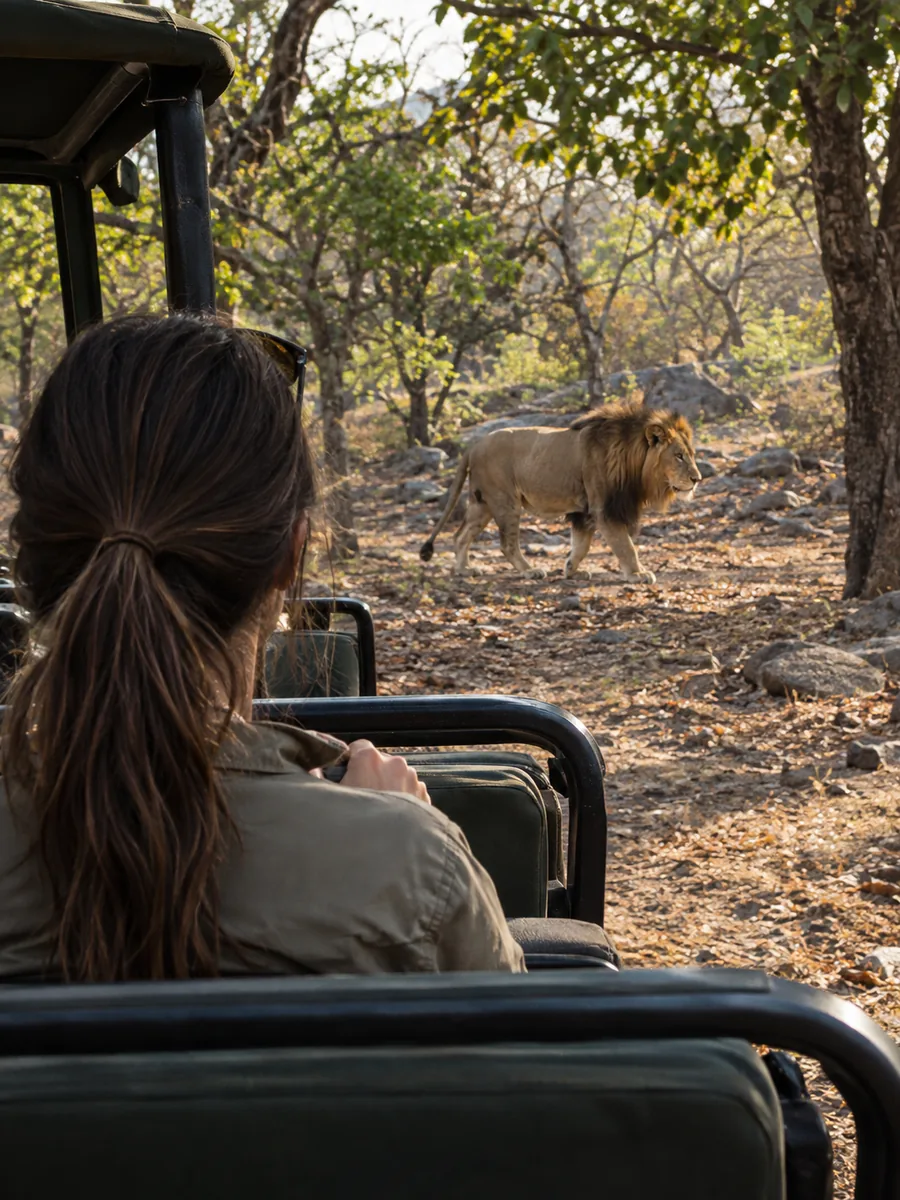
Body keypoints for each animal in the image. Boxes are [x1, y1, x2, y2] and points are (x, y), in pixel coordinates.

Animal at [419, 399, 701, 582]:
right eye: (678, 456)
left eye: (692, 454)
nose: (697, 478)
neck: (634, 460)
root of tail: (474, 445)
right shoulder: (603, 508)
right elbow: (625, 545)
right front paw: (637, 573)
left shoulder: (584, 511)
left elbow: (582, 545)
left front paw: (571, 569)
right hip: (505, 501)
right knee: (507, 544)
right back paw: (529, 570)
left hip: (483, 503)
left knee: (461, 535)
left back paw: (464, 569)